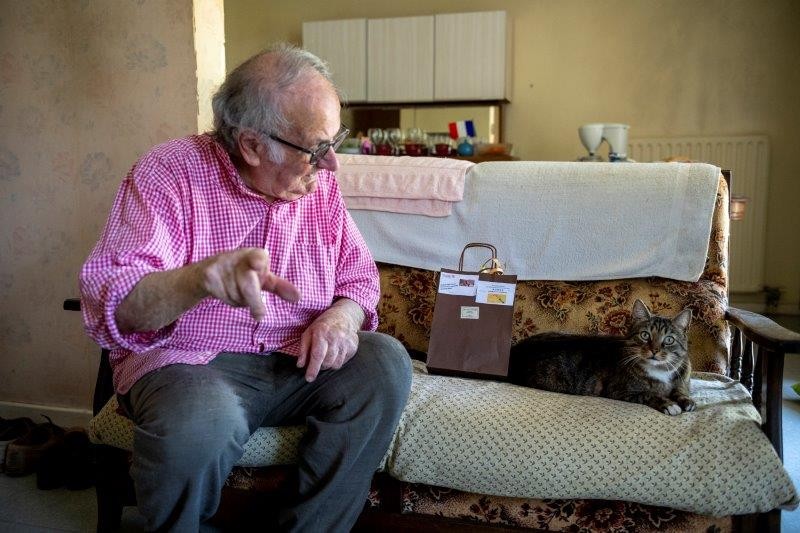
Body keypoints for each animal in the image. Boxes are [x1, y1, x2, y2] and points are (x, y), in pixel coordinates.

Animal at [512, 298, 692, 414]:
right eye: (645, 335)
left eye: (669, 340)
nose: (654, 350)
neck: (660, 371)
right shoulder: (618, 391)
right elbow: (648, 393)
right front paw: (669, 404)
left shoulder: (682, 379)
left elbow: (680, 391)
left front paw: (687, 401)